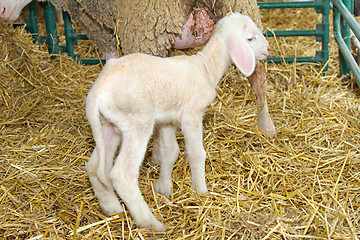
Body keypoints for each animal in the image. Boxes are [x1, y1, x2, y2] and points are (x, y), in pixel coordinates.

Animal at [85, 12, 270, 232]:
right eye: (250, 38)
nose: (268, 48)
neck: (206, 67)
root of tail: (97, 92)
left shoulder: (167, 119)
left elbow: (170, 152)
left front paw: (163, 187)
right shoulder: (192, 115)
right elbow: (197, 154)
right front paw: (201, 190)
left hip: (110, 125)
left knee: (95, 166)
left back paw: (111, 207)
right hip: (137, 121)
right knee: (122, 174)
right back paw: (150, 223)